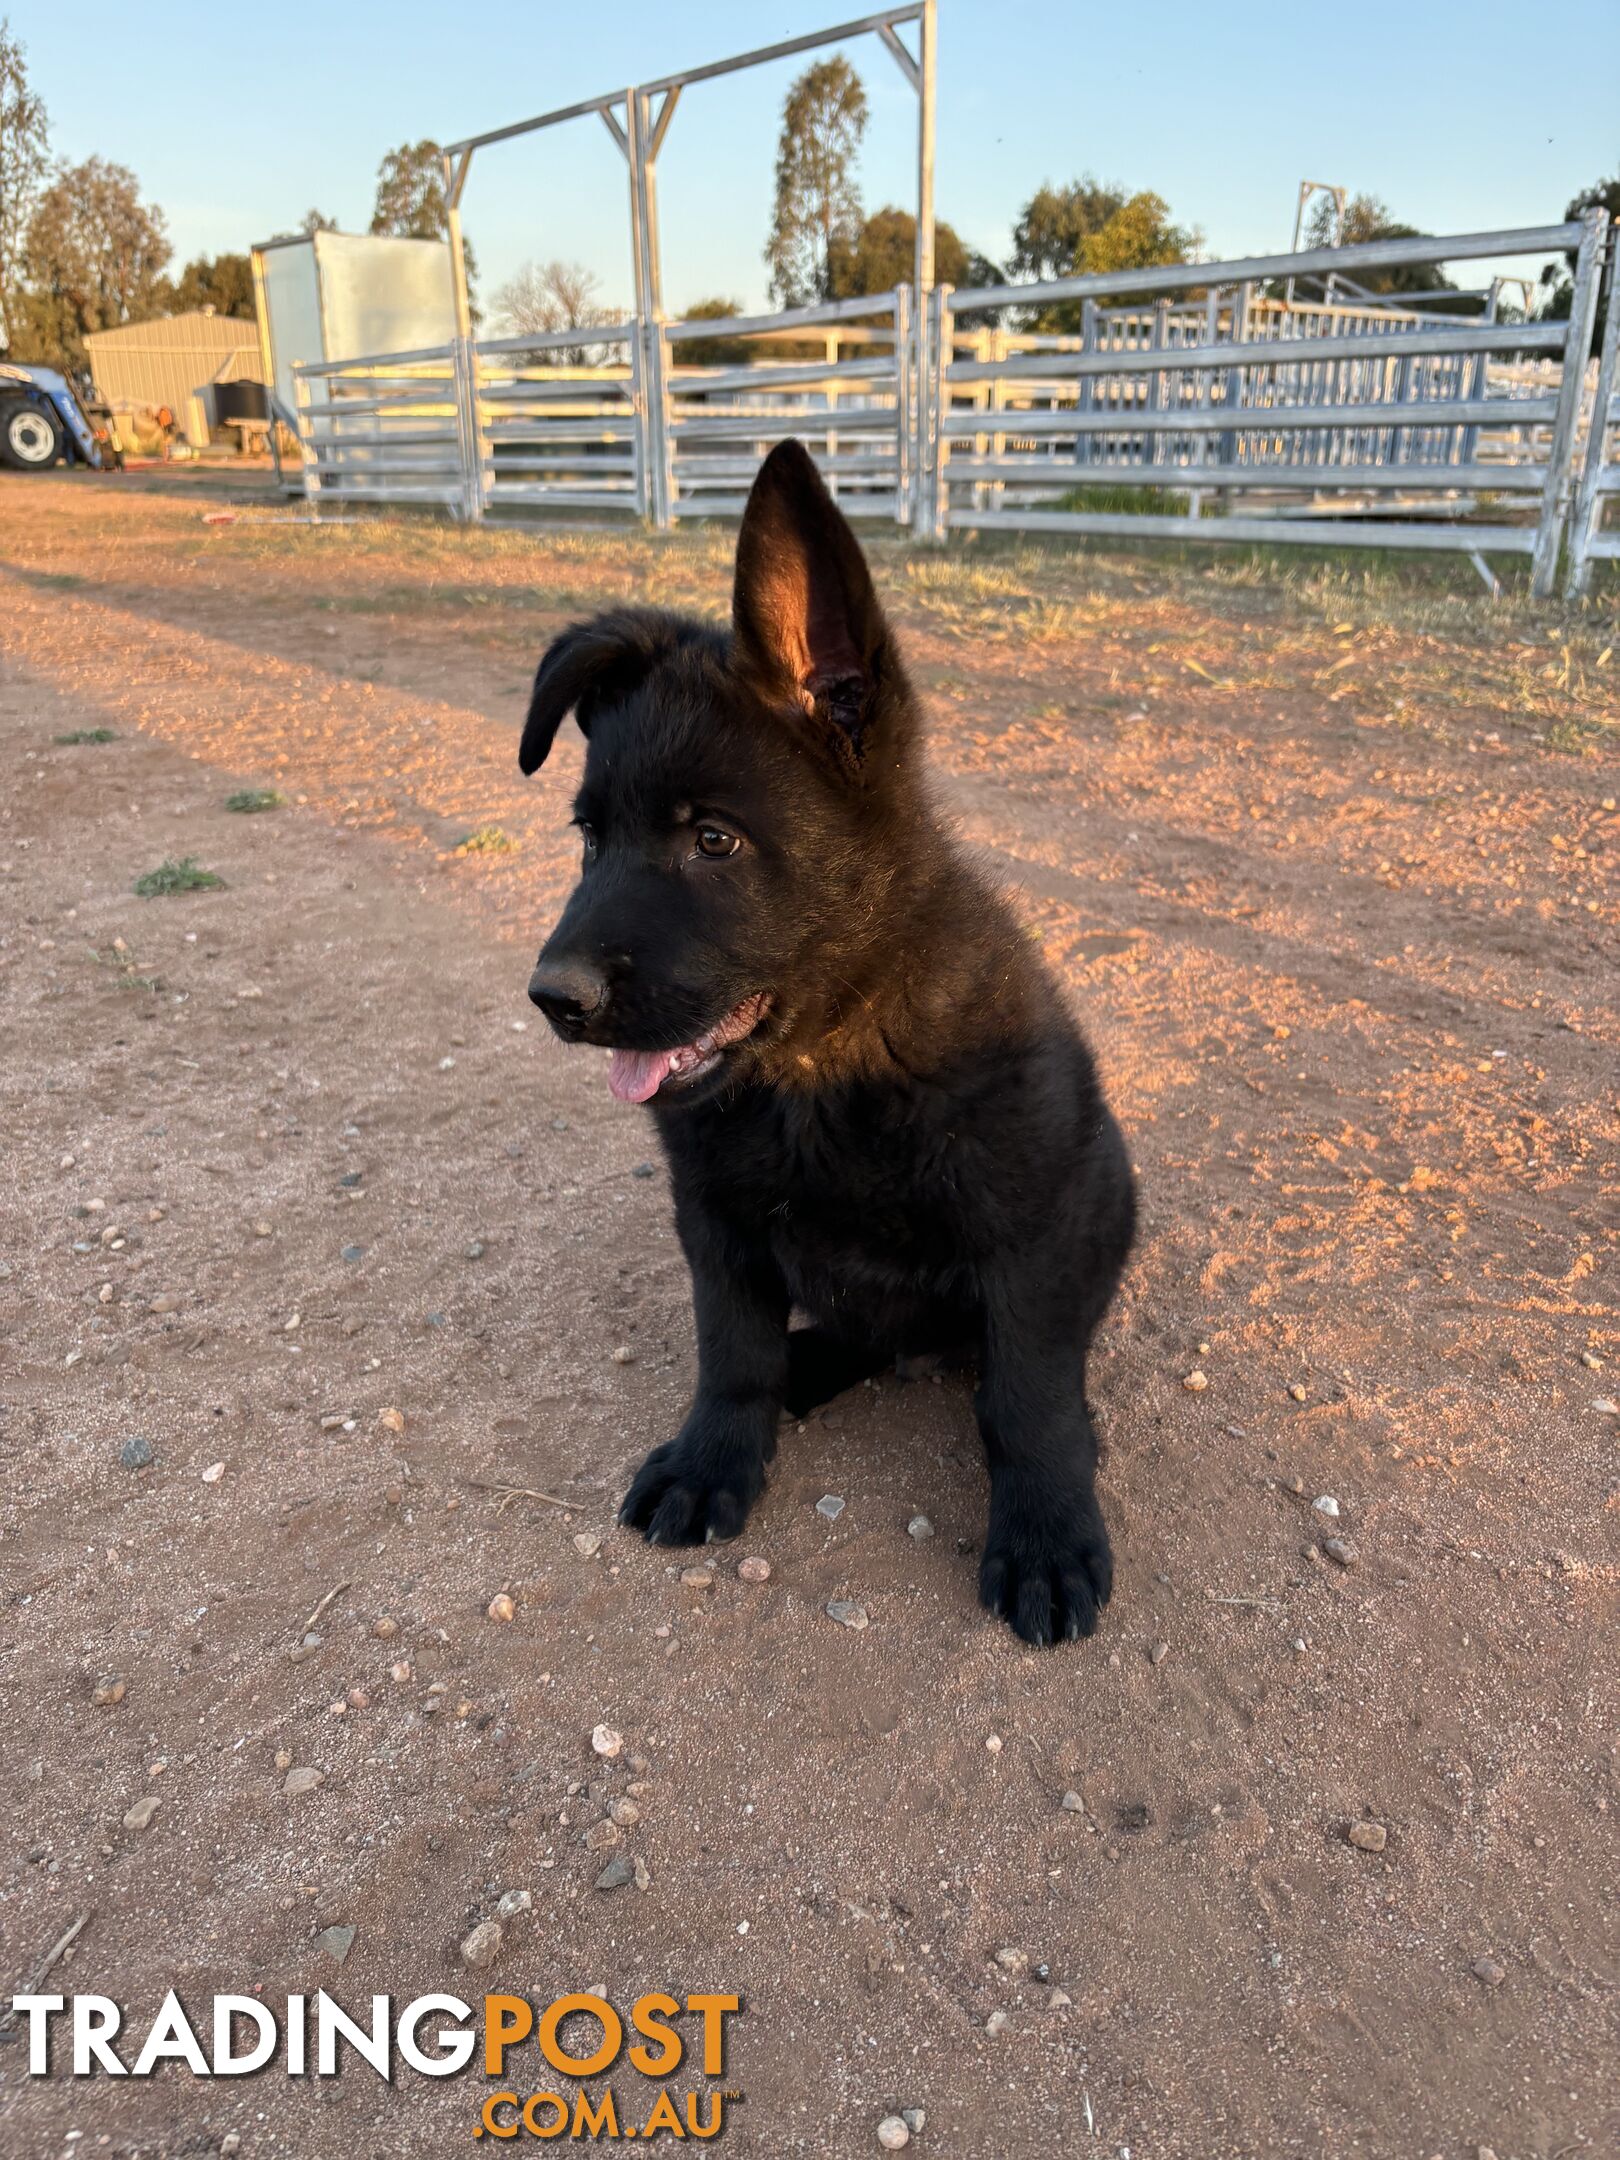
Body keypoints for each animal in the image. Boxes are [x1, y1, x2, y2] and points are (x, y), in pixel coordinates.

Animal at [527, 447, 1131, 1641]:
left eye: (713, 840)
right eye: (589, 838)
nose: (552, 998)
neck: (821, 1064)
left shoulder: (1030, 1238)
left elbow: (1028, 1403)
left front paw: (1046, 1534)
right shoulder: (715, 1220)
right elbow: (732, 1352)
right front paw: (713, 1459)